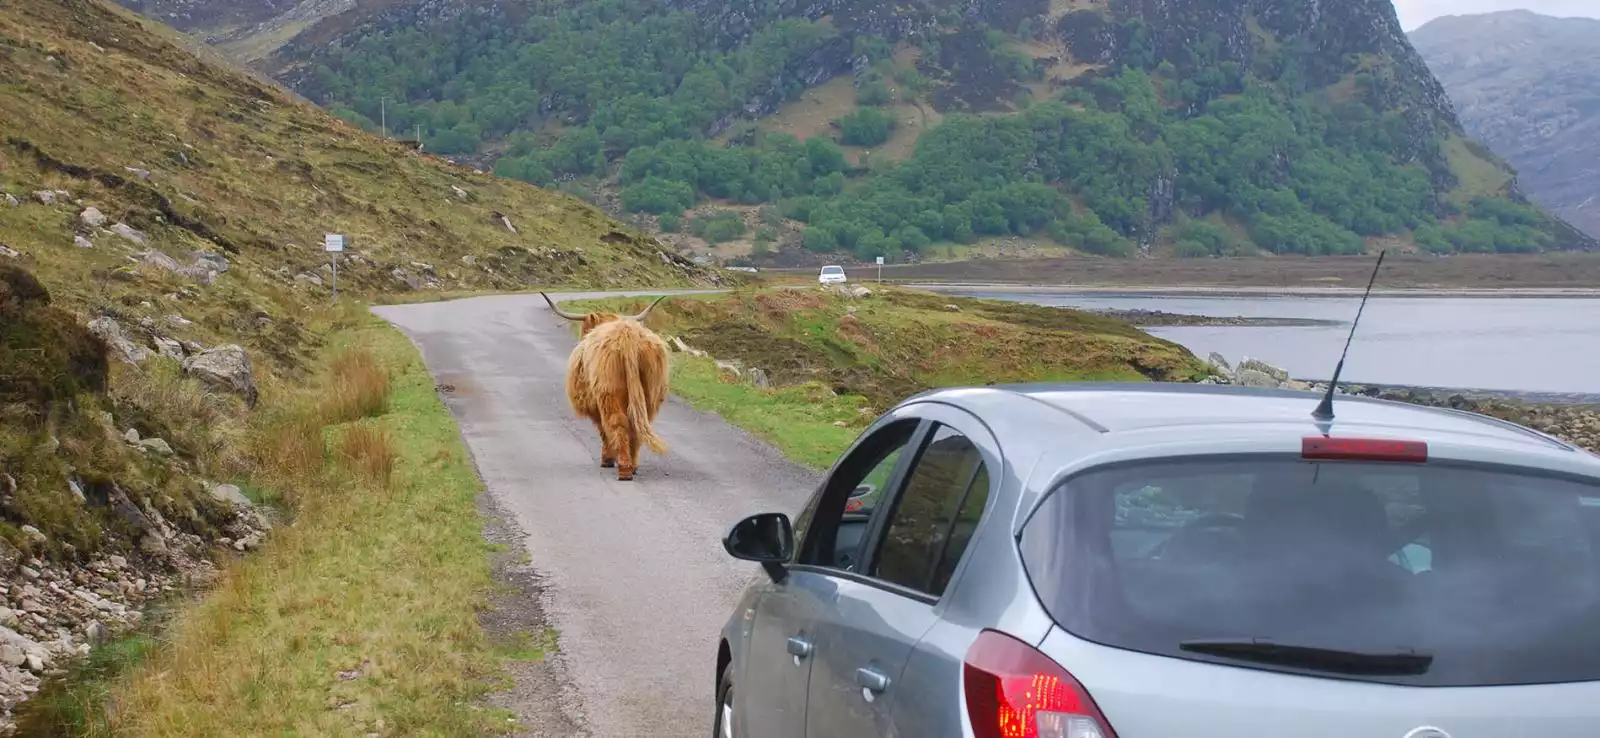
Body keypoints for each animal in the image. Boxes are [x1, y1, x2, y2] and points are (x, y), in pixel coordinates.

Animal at [547, 289, 672, 480]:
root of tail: (628, 337)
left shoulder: (594, 405)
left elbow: (603, 430)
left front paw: (607, 459)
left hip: (609, 393)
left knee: (618, 423)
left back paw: (624, 469)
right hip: (650, 395)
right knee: (638, 425)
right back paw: (633, 465)